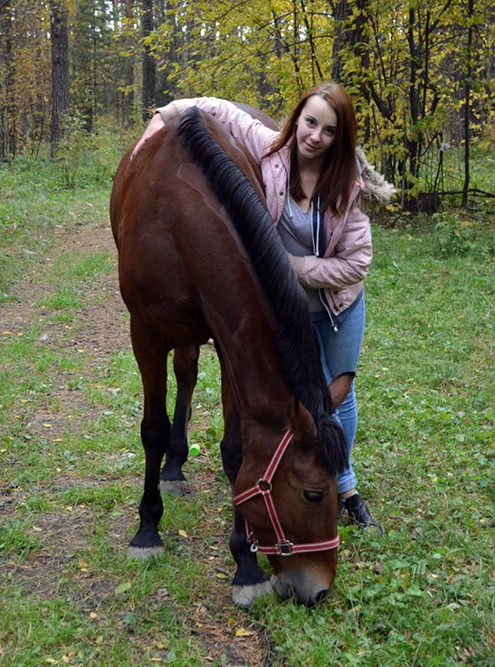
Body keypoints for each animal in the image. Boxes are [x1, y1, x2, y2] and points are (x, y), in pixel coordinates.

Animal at [110, 105, 346, 612]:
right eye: (313, 494)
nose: (318, 590)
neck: (177, 216)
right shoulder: (145, 333)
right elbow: (152, 429)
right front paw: (147, 529)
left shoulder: (227, 336)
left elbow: (240, 452)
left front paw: (246, 565)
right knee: (182, 377)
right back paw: (172, 467)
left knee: (188, 376)